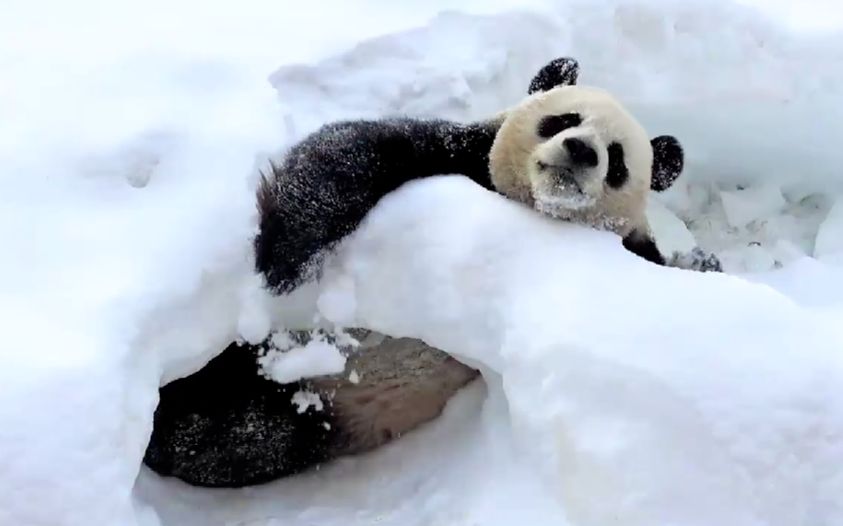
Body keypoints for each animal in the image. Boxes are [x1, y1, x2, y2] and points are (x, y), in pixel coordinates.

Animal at [142, 55, 724, 488]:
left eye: (618, 158)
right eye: (563, 121)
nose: (580, 151)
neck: (533, 205)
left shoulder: (630, 248)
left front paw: (704, 265)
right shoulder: (460, 155)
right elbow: (356, 149)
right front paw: (283, 254)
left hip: (323, 405)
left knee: (246, 436)